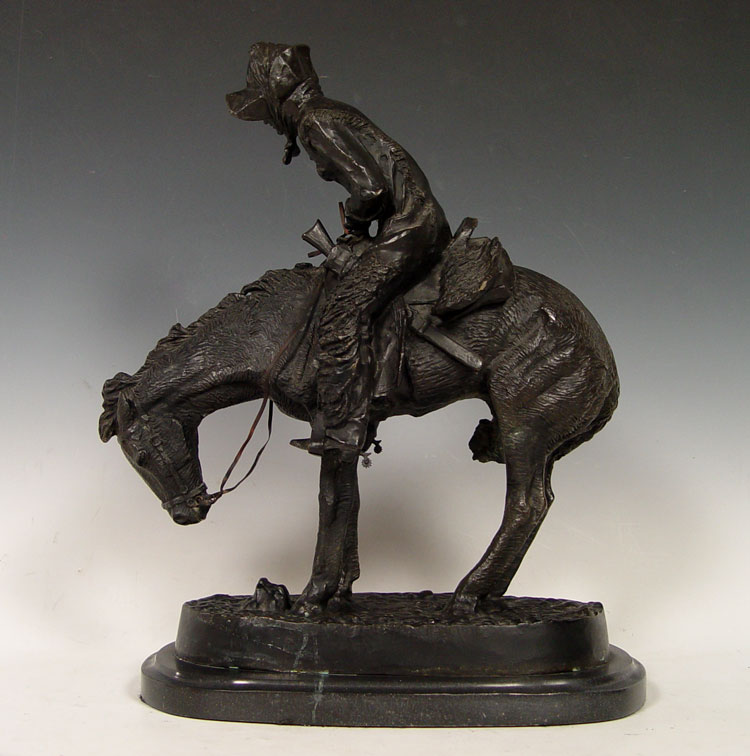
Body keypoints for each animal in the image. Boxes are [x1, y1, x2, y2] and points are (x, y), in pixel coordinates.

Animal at [99, 261, 618, 615]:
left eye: (140, 456)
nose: (186, 514)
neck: (278, 332)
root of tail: (605, 360)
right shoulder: (352, 432)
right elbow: (349, 499)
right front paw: (340, 592)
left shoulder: (328, 426)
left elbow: (331, 501)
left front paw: (311, 596)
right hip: (539, 445)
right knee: (538, 503)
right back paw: (487, 594)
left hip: (523, 432)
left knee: (526, 505)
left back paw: (469, 592)